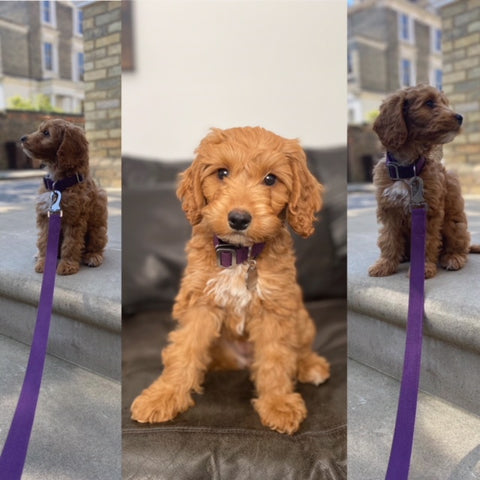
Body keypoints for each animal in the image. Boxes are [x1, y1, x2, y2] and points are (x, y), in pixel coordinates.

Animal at [21, 118, 108, 276]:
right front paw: (43, 263)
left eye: (46, 133)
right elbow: (43, 241)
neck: (58, 184)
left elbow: (71, 243)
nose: (22, 138)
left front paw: (67, 265)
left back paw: (93, 256)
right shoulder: (45, 216)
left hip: (98, 227)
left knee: (96, 245)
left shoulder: (75, 218)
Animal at [133, 126, 332, 436]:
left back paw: (310, 365)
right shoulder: (200, 303)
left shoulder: (274, 308)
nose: (238, 218)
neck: (240, 255)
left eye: (270, 179)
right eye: (222, 173)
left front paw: (278, 404)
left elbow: (276, 358)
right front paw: (163, 396)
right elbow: (184, 351)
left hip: (302, 318)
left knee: (298, 350)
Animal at [370, 84, 478, 280]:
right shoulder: (389, 209)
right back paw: (404, 256)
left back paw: (453, 258)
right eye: (429, 103)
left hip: (454, 224)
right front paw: (385, 264)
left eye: (445, 103)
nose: (460, 117)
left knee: (460, 246)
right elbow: (388, 238)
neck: (408, 168)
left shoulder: (429, 211)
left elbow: (427, 241)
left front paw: (423, 269)